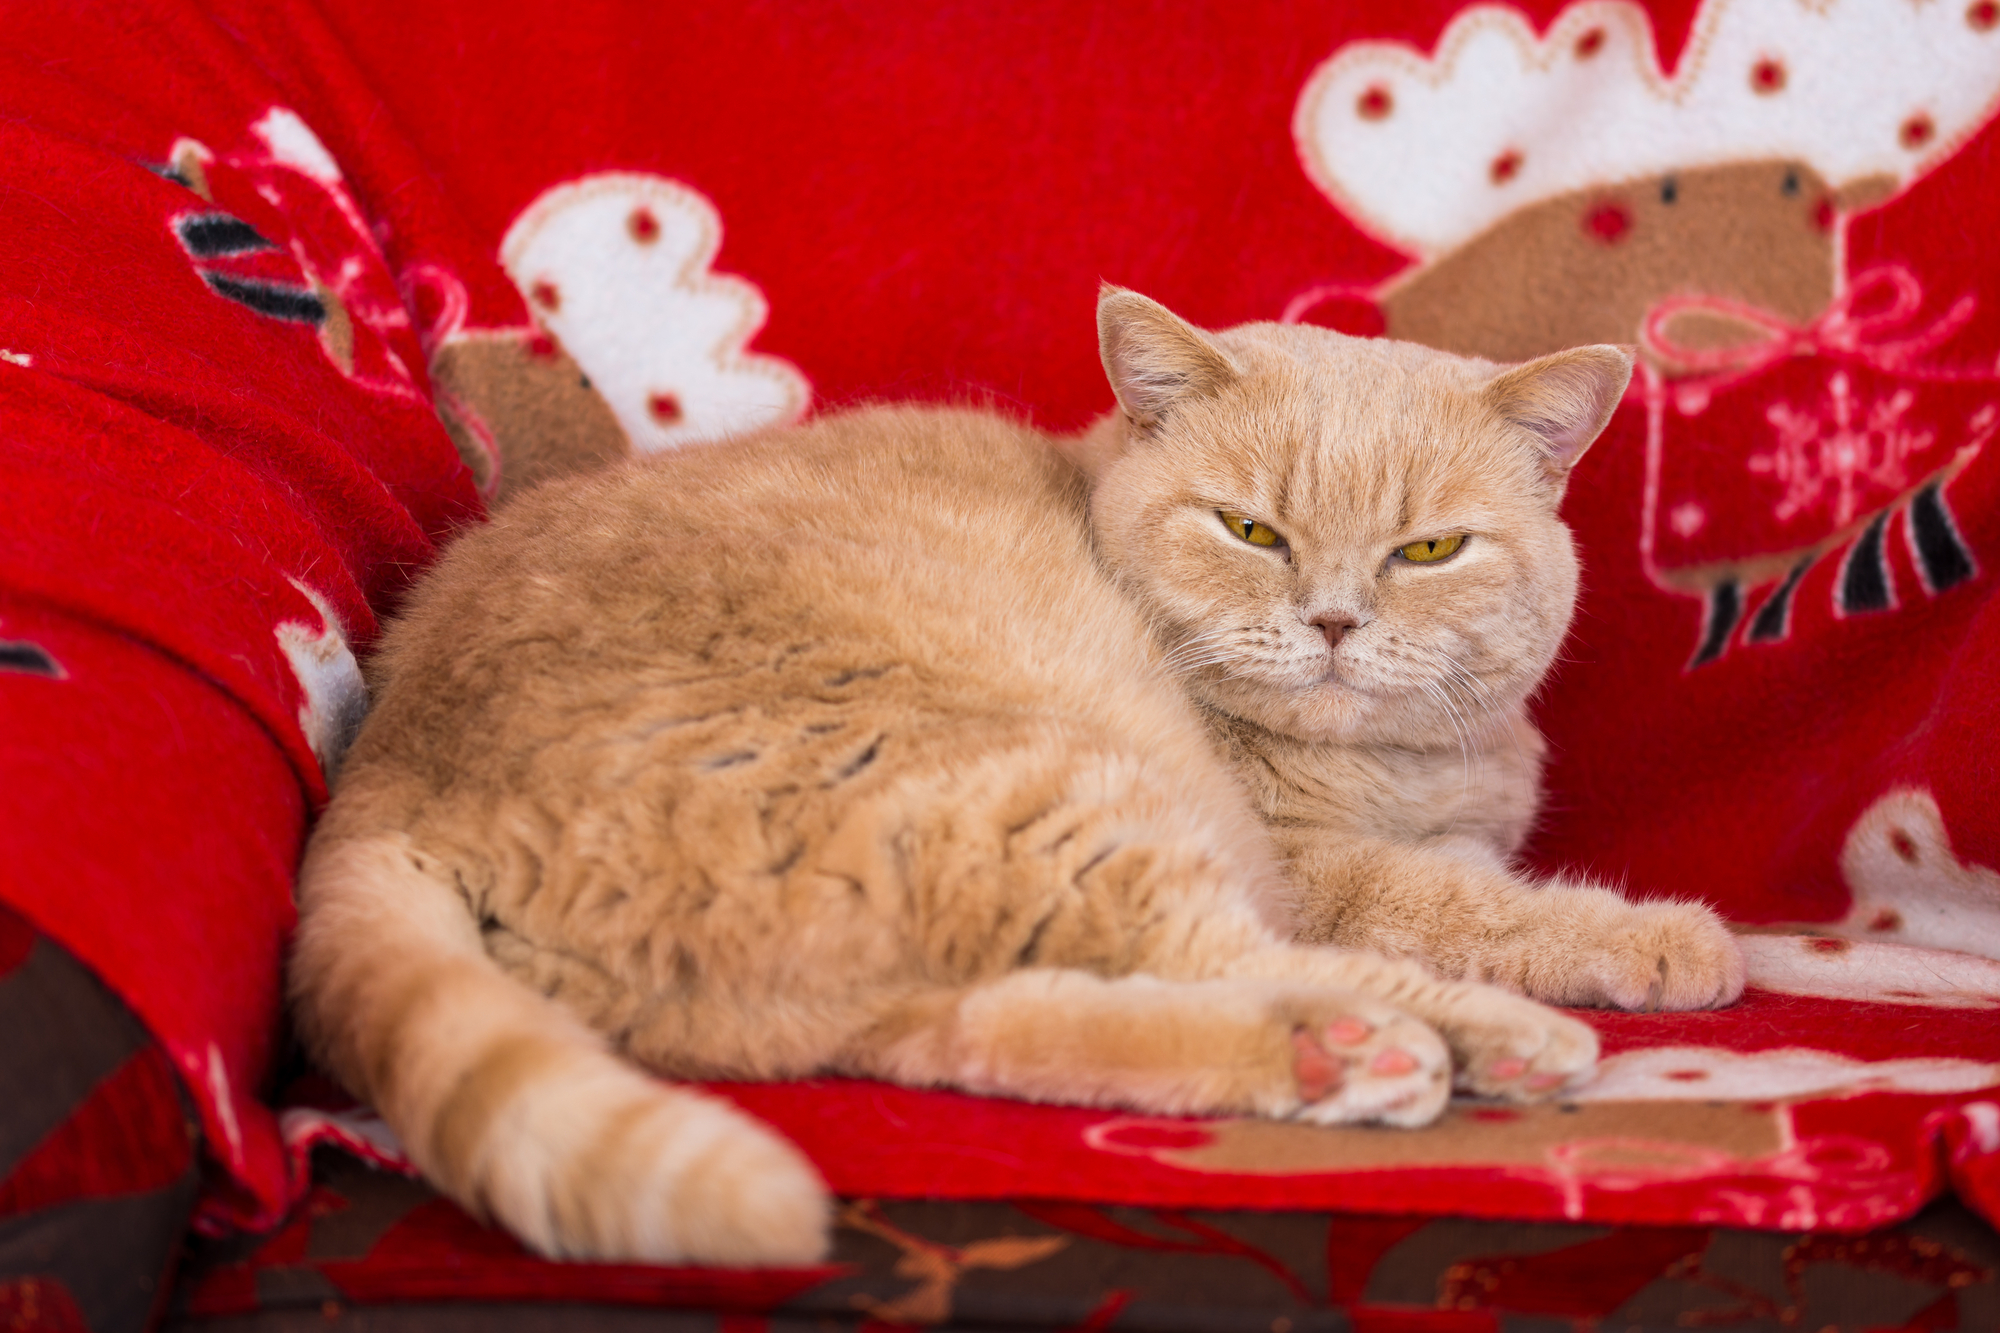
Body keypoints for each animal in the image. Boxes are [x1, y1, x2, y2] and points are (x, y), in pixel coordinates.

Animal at [290, 288, 1744, 1264]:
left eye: (1430, 549)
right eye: (1250, 530)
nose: (1333, 621)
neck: (1409, 766)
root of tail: (388, 771)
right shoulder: (1318, 870)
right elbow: (1474, 906)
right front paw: (1664, 942)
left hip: (848, 952)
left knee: (1009, 1031)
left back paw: (1334, 1060)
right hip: (1045, 788)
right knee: (1233, 958)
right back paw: (1450, 1041)